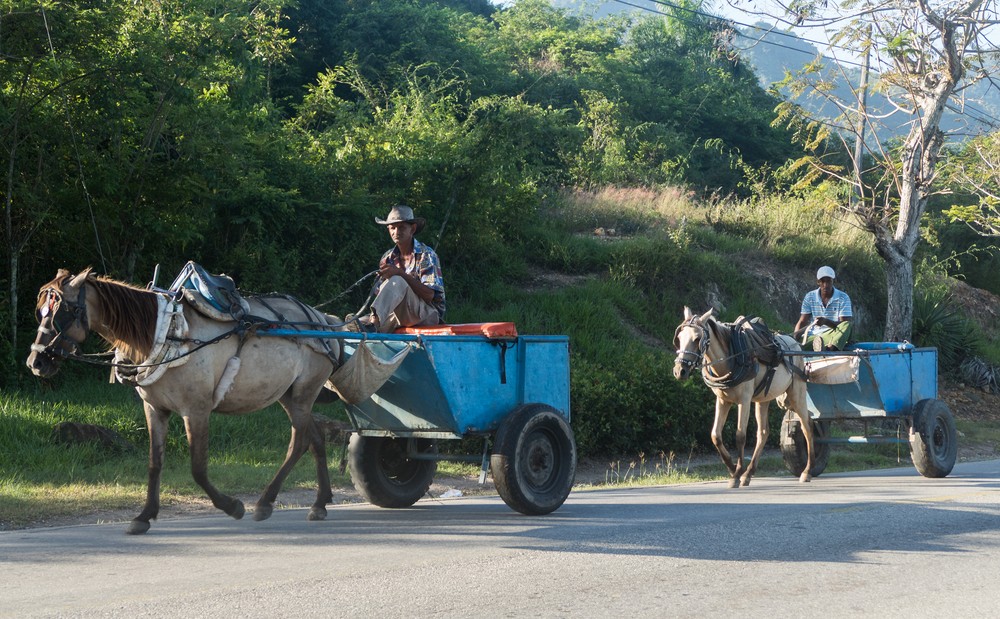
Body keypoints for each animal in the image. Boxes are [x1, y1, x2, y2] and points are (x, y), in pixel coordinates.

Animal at [27, 268, 343, 534]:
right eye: (40, 313)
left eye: (62, 312)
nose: (36, 362)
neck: (167, 333)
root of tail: (324, 321)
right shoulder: (155, 409)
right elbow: (155, 463)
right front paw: (144, 516)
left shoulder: (197, 410)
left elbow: (198, 468)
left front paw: (232, 506)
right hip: (288, 396)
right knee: (315, 438)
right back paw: (320, 503)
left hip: (303, 393)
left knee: (299, 442)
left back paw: (266, 502)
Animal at [672, 307, 814, 487]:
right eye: (679, 338)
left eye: (697, 338)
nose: (679, 370)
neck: (731, 357)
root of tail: (794, 343)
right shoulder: (723, 401)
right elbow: (715, 435)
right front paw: (733, 469)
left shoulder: (744, 401)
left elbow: (740, 436)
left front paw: (736, 473)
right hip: (763, 399)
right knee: (763, 432)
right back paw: (749, 473)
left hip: (797, 393)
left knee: (807, 427)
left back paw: (807, 471)